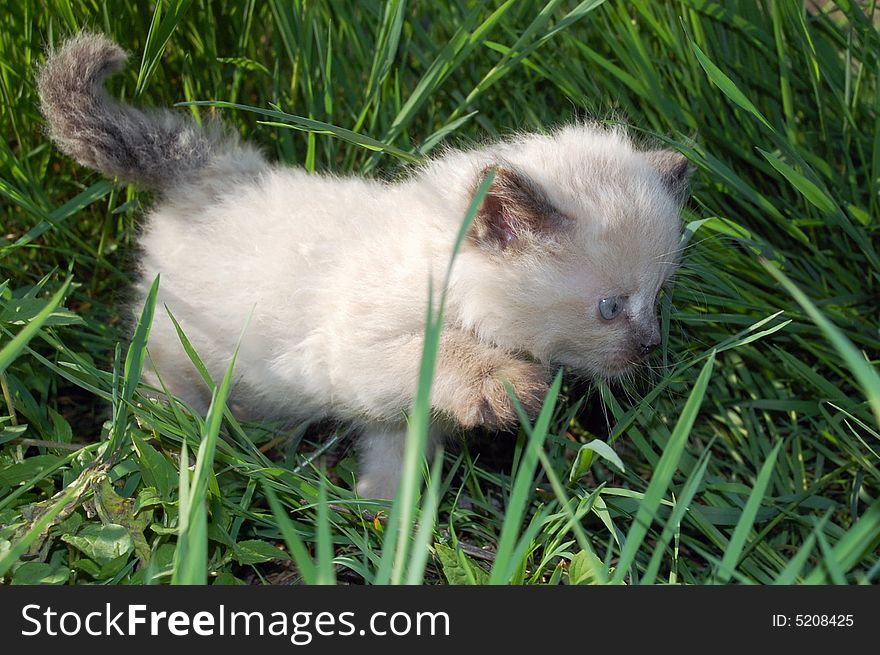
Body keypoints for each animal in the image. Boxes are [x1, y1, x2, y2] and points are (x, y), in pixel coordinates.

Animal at [37, 33, 692, 500]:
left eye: (659, 296)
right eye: (609, 308)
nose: (651, 346)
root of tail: (215, 171)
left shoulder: (399, 415)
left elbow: (397, 459)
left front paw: (385, 521)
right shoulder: (351, 353)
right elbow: (440, 352)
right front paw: (499, 382)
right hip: (176, 346)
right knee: (153, 383)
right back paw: (171, 435)